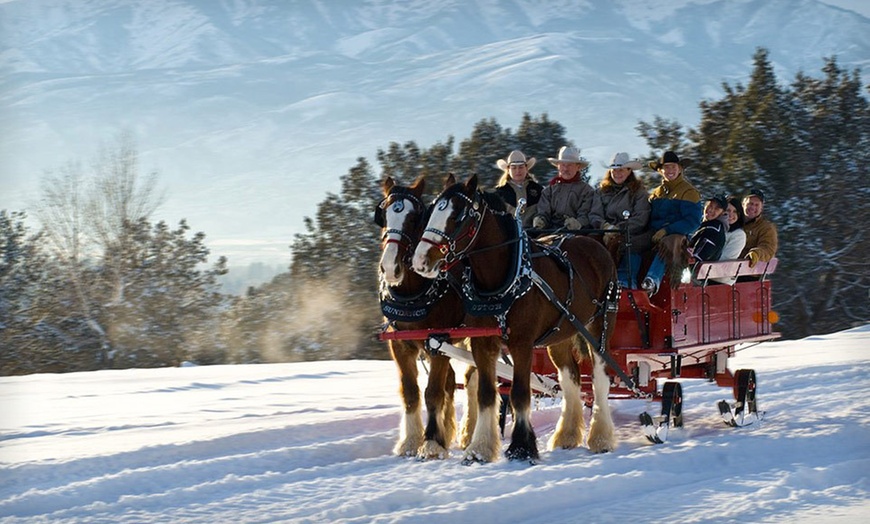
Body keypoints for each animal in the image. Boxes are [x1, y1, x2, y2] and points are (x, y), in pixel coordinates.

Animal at [374, 175, 470, 458]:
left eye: (416, 217)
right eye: (383, 215)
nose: (390, 268)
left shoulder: (438, 341)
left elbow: (433, 392)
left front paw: (431, 444)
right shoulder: (401, 345)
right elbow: (411, 392)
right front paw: (410, 441)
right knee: (453, 381)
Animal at [414, 175, 620, 462]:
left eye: (457, 216)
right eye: (432, 211)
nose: (420, 261)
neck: (502, 277)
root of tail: (596, 245)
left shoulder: (522, 342)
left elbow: (520, 392)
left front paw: (522, 447)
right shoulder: (483, 342)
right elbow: (487, 393)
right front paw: (480, 449)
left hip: (600, 324)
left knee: (600, 378)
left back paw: (601, 438)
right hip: (560, 333)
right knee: (571, 378)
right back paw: (566, 436)